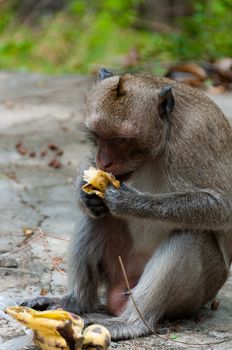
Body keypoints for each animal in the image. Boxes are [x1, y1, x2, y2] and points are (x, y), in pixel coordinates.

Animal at [21, 67, 232, 340]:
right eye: (98, 136)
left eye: (121, 139)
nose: (105, 161)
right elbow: (90, 180)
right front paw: (85, 193)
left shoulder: (195, 138)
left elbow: (222, 207)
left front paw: (130, 202)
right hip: (117, 266)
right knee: (96, 219)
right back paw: (75, 302)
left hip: (196, 294)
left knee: (190, 235)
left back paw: (131, 322)